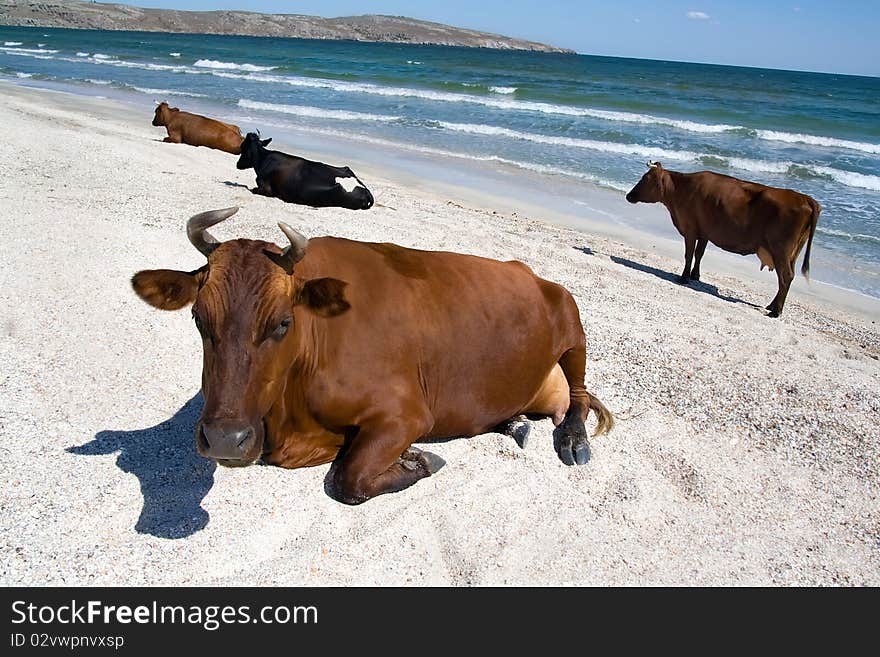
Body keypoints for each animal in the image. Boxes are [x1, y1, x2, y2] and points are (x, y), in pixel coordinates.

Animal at [131, 208, 612, 504]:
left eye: (283, 323)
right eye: (198, 317)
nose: (225, 440)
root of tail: (526, 270)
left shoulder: (406, 413)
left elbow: (350, 478)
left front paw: (418, 460)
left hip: (572, 323)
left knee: (579, 394)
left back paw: (573, 440)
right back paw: (513, 423)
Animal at [624, 160, 820, 316]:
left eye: (645, 179)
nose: (629, 195)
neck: (680, 190)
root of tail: (805, 198)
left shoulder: (690, 229)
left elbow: (689, 254)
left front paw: (684, 277)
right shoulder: (704, 232)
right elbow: (699, 254)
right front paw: (695, 276)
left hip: (781, 250)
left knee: (786, 276)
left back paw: (776, 311)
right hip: (792, 253)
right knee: (787, 278)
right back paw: (771, 306)